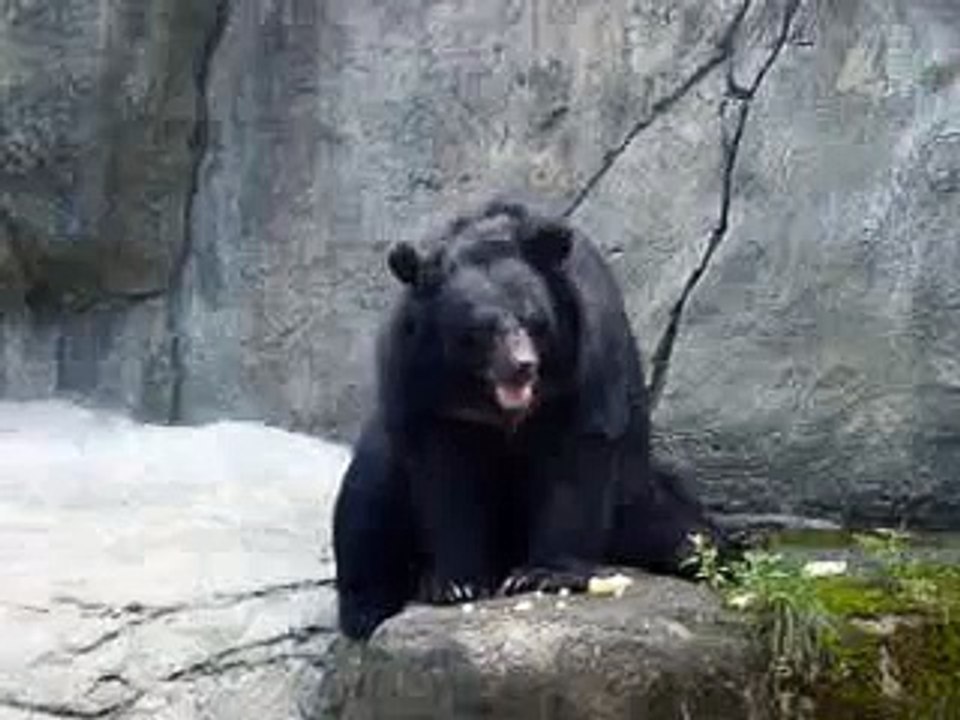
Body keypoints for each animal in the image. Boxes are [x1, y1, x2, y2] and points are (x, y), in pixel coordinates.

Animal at [332, 199, 733, 641]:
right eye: (479, 330)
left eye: (532, 319)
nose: (522, 366)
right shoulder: (425, 385)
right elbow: (443, 476)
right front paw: (457, 583)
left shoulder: (583, 359)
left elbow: (578, 455)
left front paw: (542, 575)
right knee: (366, 506)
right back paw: (366, 611)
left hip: (639, 495)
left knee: (688, 537)